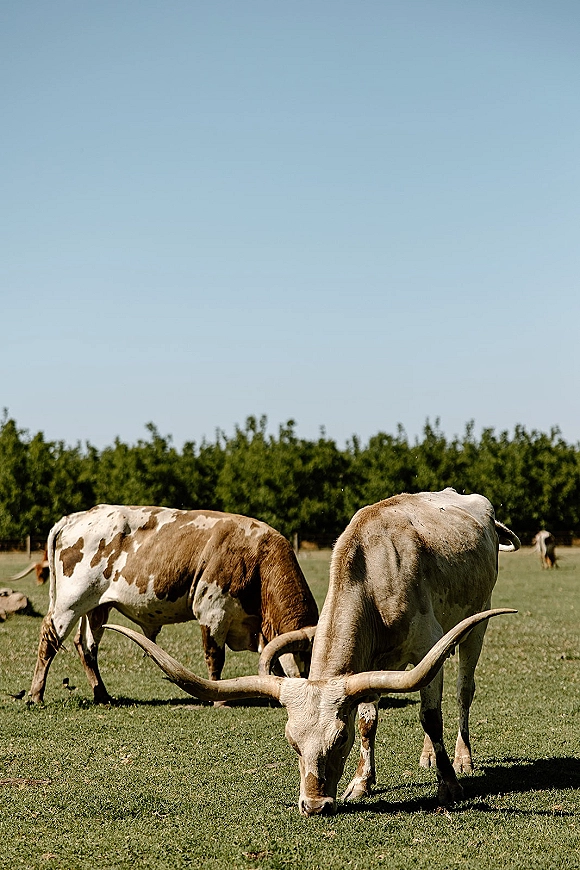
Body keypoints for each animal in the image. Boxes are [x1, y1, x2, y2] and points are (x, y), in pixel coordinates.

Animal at [29, 505, 318, 704]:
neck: (258, 558)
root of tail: (78, 516)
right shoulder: (213, 613)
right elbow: (215, 658)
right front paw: (220, 700)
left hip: (97, 607)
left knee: (87, 647)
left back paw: (102, 695)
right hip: (69, 604)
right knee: (49, 642)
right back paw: (36, 695)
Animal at [105, 488, 520, 815]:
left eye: (339, 738)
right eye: (292, 742)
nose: (315, 805)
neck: (376, 573)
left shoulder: (425, 647)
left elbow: (430, 717)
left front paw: (448, 784)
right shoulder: (369, 666)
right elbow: (369, 720)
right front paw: (361, 783)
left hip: (476, 626)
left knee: (463, 692)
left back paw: (461, 758)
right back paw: (427, 755)